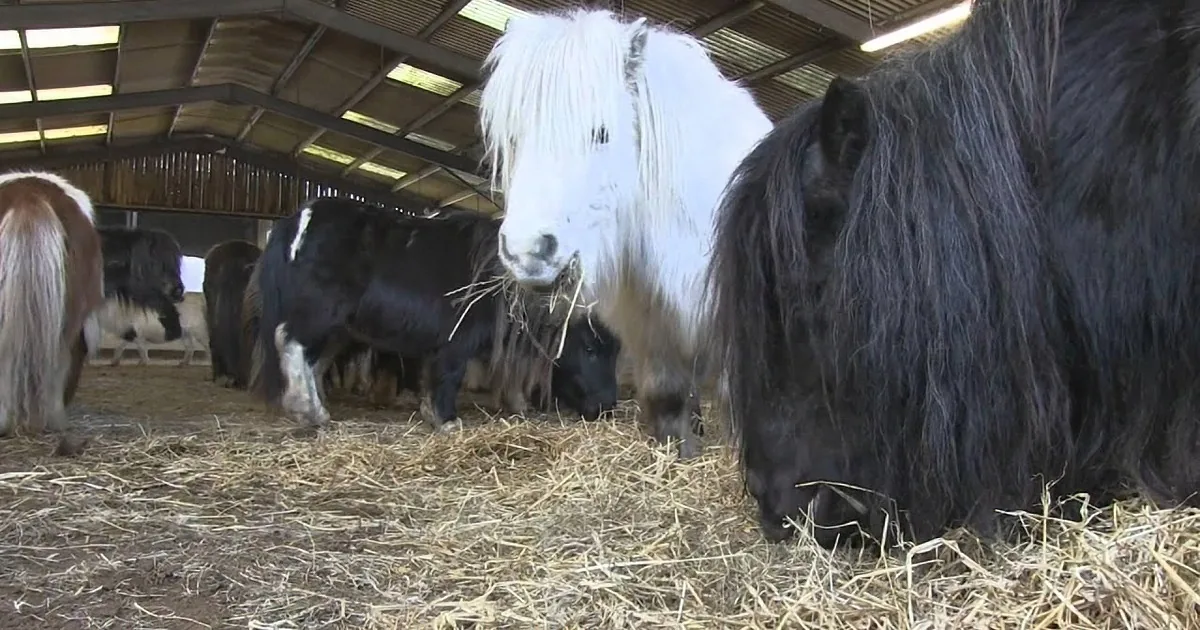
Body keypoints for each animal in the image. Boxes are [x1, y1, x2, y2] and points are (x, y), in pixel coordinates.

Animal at [255, 197, 582, 432]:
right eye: (589, 349)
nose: (594, 411)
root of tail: (299, 219)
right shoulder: (457, 340)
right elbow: (449, 374)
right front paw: (447, 420)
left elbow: (431, 374)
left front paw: (430, 412)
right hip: (319, 312)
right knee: (290, 342)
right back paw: (307, 409)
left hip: (336, 328)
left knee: (313, 360)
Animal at [478, 8, 772, 458]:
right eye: (512, 136)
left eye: (601, 133)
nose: (528, 253)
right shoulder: (650, 324)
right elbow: (666, 397)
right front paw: (678, 454)